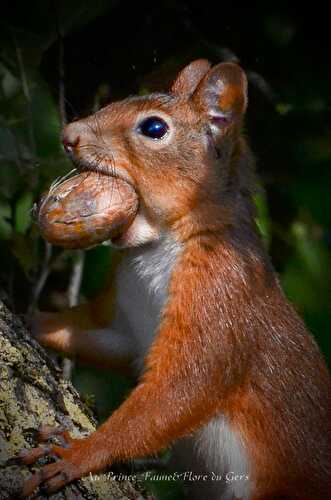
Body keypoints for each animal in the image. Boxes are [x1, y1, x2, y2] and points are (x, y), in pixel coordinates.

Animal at [19, 60, 330, 498]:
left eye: (154, 128)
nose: (68, 135)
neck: (154, 246)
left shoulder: (221, 296)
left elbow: (181, 389)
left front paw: (77, 453)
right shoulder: (127, 328)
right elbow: (100, 338)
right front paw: (28, 318)